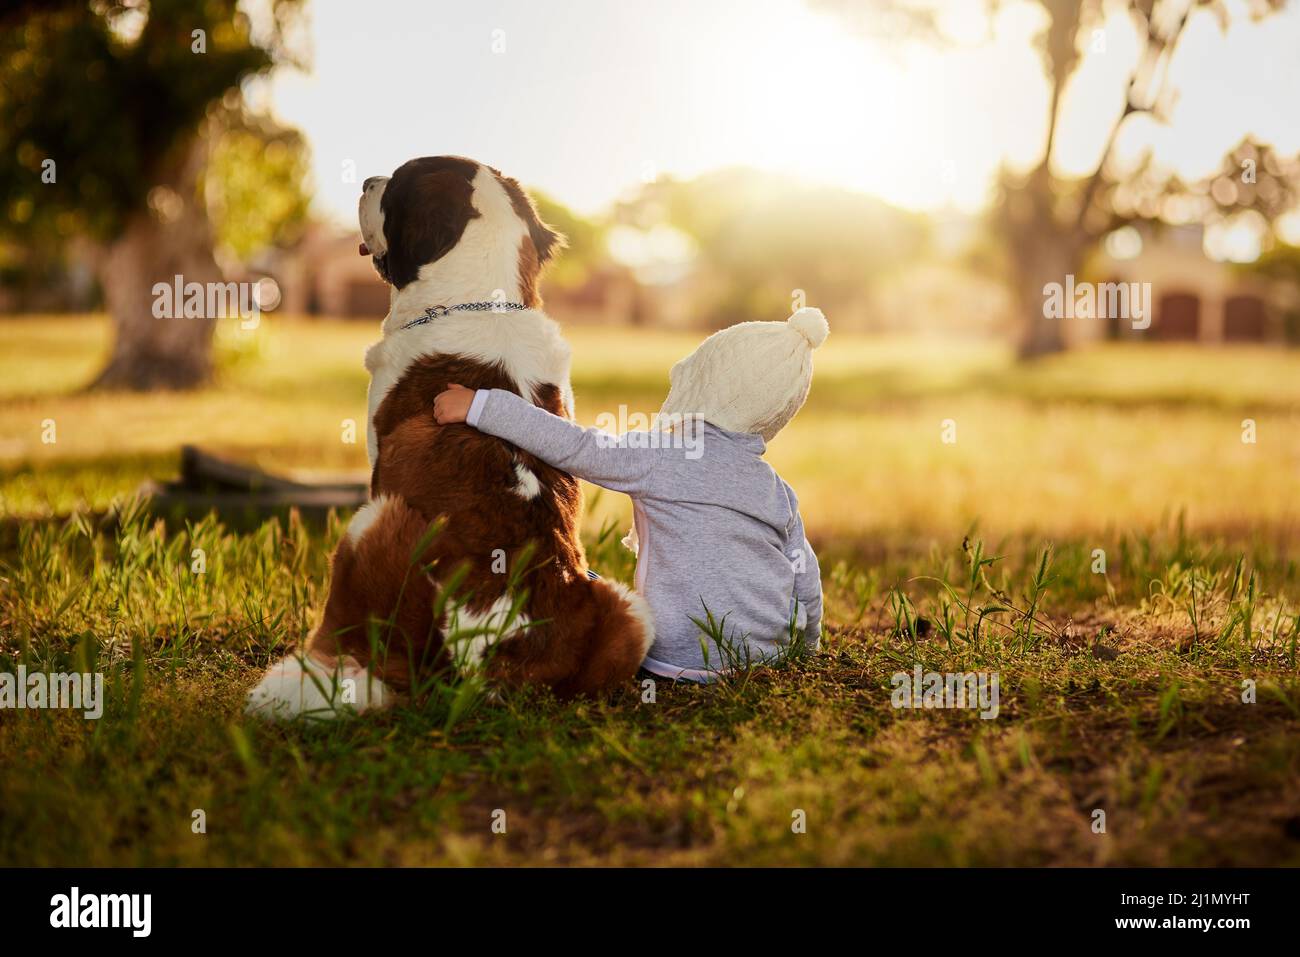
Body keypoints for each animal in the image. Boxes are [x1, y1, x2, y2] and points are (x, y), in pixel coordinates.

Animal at [245, 155, 650, 717]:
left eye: (395, 185)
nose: (368, 180)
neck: (480, 302)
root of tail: (498, 661)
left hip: (373, 520)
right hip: (630, 611)